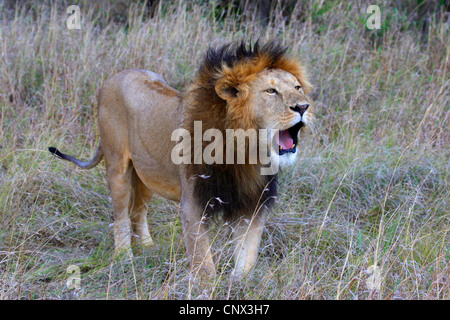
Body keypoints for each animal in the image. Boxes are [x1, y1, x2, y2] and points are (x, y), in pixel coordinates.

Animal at [47, 41, 312, 278]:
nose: (303, 107)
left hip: (147, 176)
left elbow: (247, 256)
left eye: (298, 87)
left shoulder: (252, 203)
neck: (245, 151)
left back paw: (147, 247)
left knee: (138, 211)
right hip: (117, 167)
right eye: (271, 91)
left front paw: (239, 285)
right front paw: (208, 290)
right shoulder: (193, 203)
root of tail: (110, 80)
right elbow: (204, 262)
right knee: (120, 215)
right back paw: (124, 258)